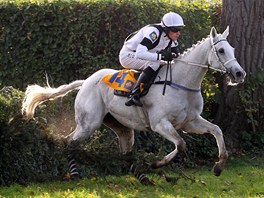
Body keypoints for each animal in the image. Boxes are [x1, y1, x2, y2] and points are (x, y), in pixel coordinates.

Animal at [22, 26, 245, 179]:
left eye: (233, 49)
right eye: (221, 50)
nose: (239, 74)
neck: (182, 83)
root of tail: (85, 82)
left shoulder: (190, 122)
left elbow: (217, 130)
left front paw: (219, 166)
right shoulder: (160, 123)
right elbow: (181, 144)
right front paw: (157, 164)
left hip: (121, 127)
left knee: (126, 152)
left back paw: (142, 178)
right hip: (88, 124)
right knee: (68, 142)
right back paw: (74, 172)